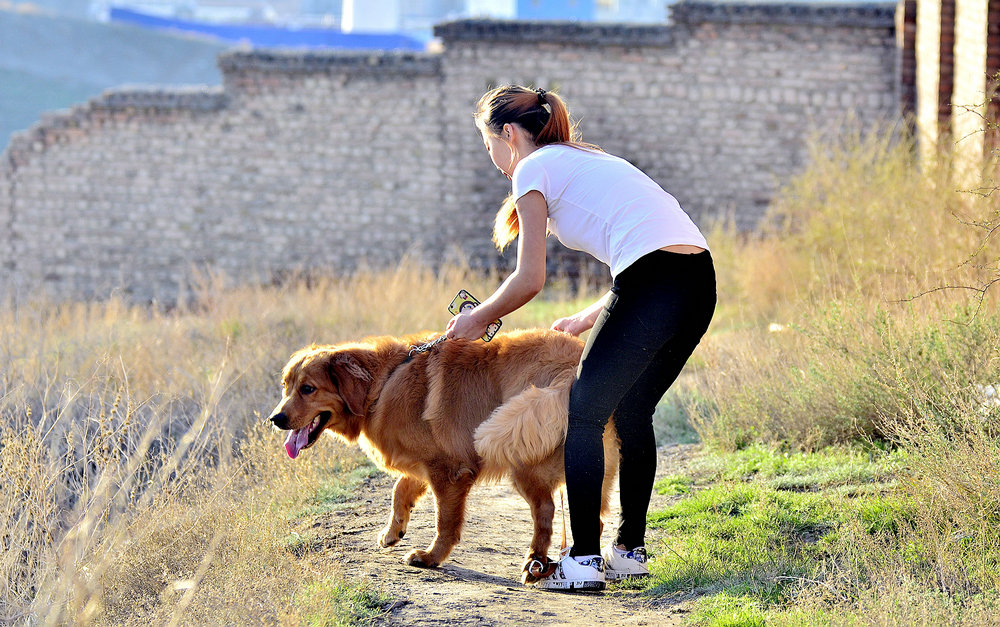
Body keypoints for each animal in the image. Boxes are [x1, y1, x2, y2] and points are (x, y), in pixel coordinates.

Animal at [266, 328, 616, 584]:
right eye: (286, 386)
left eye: (308, 389)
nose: (275, 418)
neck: (382, 384)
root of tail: (572, 364)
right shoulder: (424, 464)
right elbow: (399, 491)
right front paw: (393, 531)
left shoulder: (448, 470)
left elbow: (444, 521)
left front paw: (431, 557)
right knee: (593, 518)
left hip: (524, 461)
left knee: (545, 512)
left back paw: (535, 562)